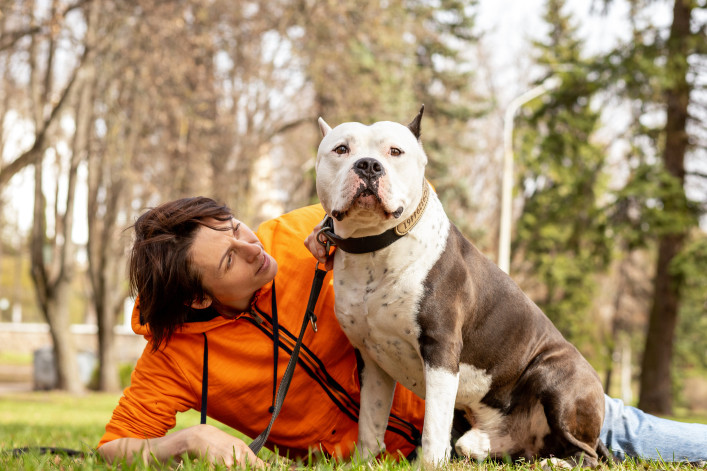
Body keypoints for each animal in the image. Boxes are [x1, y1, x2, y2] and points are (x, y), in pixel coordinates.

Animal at [316, 108, 608, 468]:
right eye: (341, 149)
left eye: (395, 151)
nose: (369, 165)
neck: (375, 248)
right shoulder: (372, 360)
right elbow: (370, 422)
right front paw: (364, 462)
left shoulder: (441, 350)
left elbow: (433, 426)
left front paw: (429, 465)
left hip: (556, 376)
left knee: (587, 454)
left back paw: (557, 463)